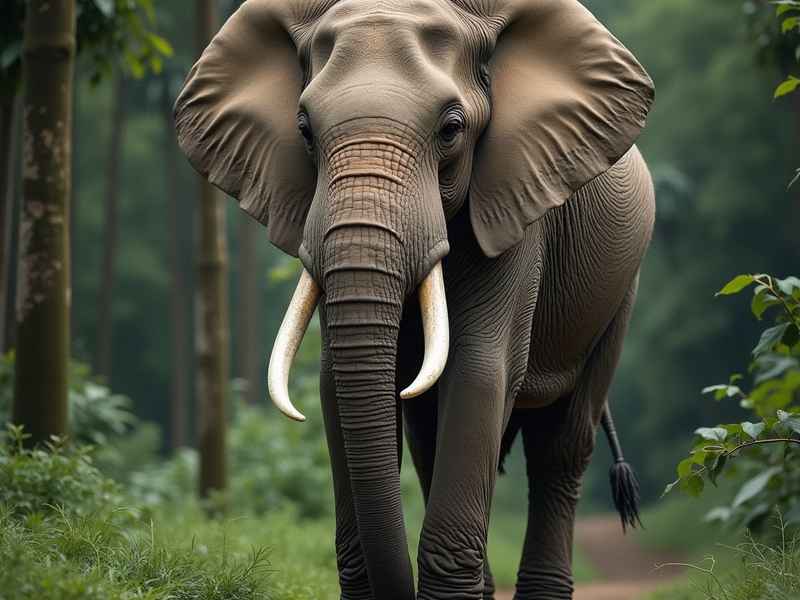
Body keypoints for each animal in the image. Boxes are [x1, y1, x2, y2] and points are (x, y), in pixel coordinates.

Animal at [173, 0, 655, 598]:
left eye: (451, 130)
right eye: (304, 131)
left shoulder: (516, 206)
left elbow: (480, 372)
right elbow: (334, 383)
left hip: (620, 291)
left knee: (560, 445)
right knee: (430, 436)